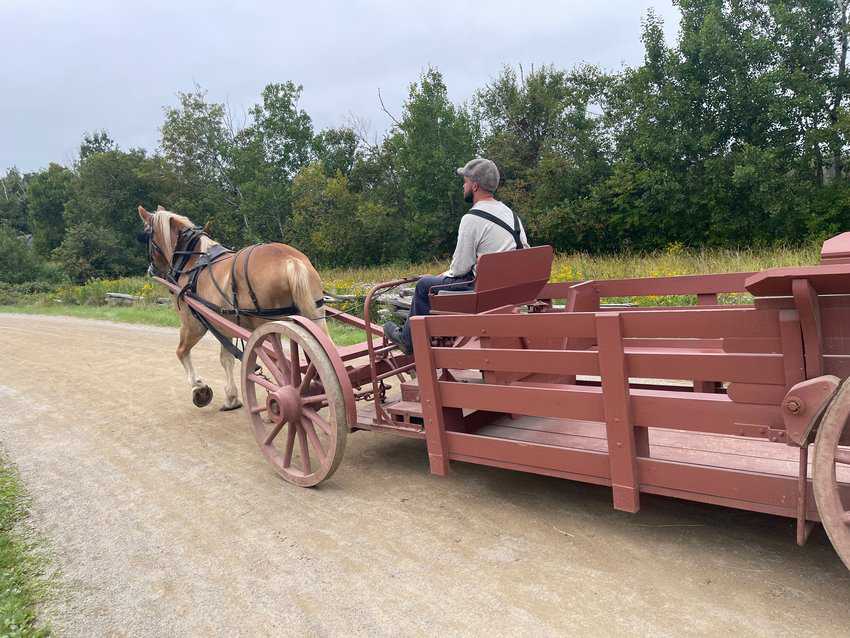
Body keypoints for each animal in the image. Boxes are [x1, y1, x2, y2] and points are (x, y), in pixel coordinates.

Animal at [137, 208, 326, 412]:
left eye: (147, 235)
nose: (151, 269)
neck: (192, 260)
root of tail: (290, 260)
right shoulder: (223, 325)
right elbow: (226, 358)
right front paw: (232, 398)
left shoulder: (192, 323)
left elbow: (181, 352)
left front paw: (199, 388)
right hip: (316, 316)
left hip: (267, 327)